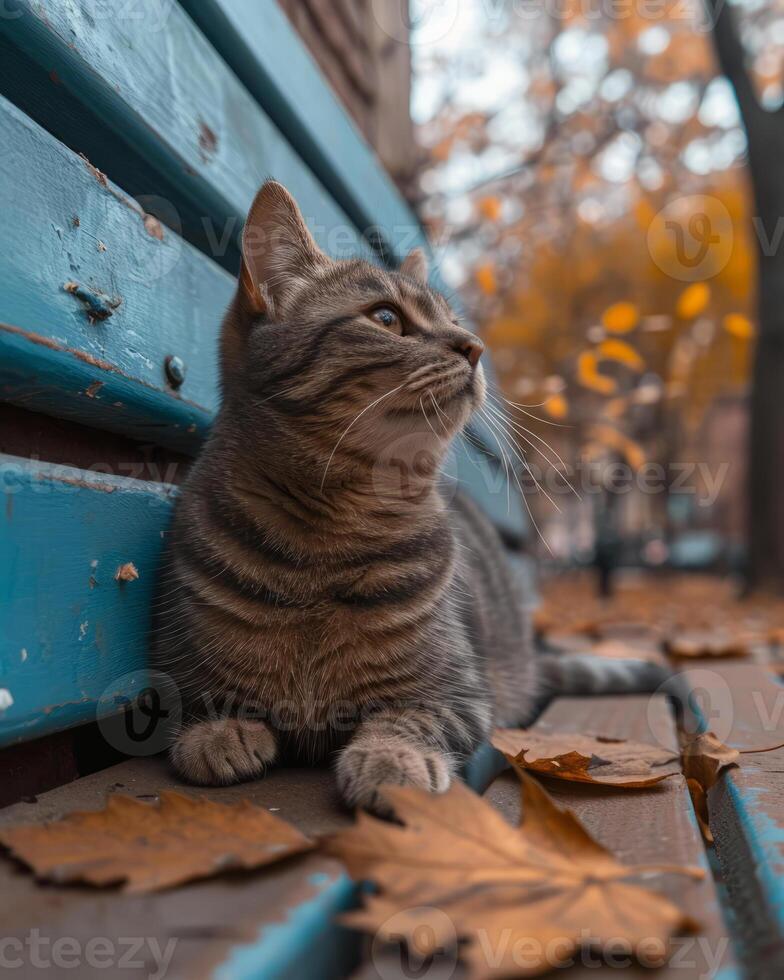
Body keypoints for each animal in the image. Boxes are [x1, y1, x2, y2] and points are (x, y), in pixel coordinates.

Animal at [150, 182, 660, 812]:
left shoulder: (460, 695)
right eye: (387, 318)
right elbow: (198, 700)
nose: (475, 346)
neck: (331, 531)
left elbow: (405, 718)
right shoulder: (173, 671)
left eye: (454, 320)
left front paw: (388, 759)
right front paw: (217, 733)